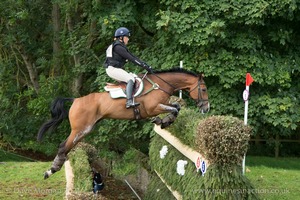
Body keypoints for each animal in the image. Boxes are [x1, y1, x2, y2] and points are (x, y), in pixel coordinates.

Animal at [37, 68, 210, 179]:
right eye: (204, 89)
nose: (206, 108)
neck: (161, 85)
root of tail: (75, 100)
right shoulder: (152, 108)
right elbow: (175, 109)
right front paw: (164, 121)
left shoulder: (160, 106)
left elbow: (176, 107)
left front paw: (163, 121)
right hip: (81, 129)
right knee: (63, 146)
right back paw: (50, 171)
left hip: (86, 129)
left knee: (65, 146)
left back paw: (51, 169)